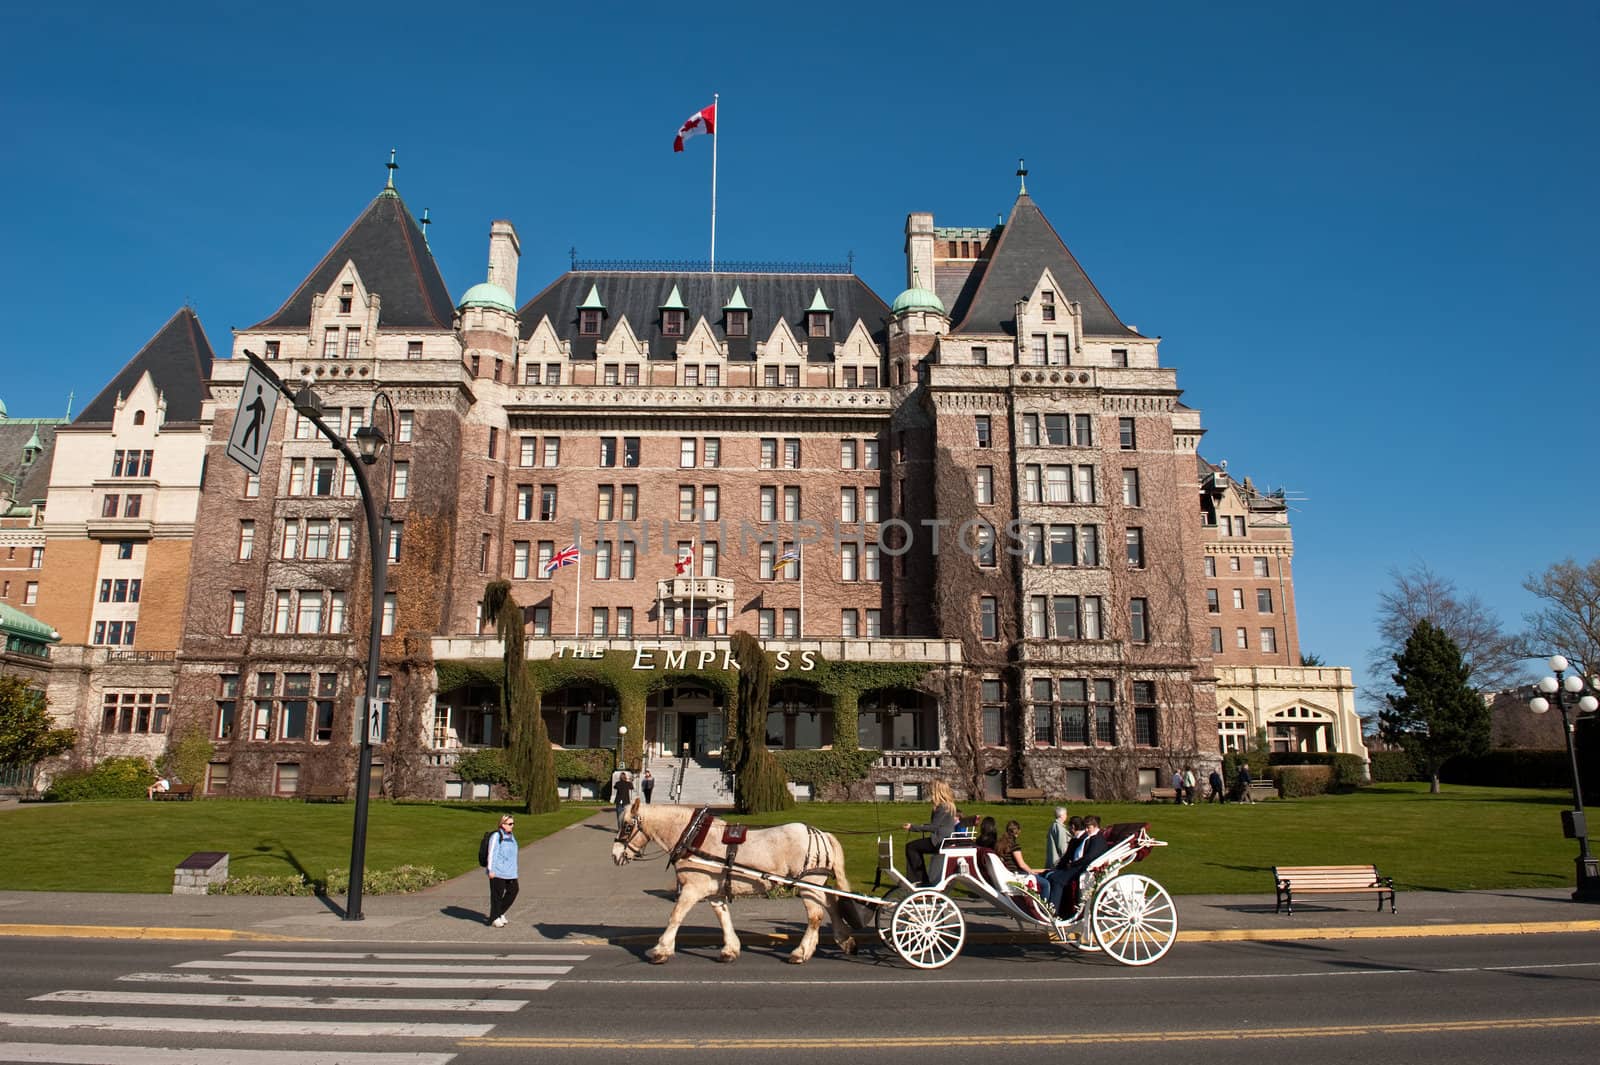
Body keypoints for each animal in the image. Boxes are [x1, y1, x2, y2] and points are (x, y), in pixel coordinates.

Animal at [614, 796, 864, 959]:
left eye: (626, 827)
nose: (615, 855)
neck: (691, 836)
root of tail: (822, 833)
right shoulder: (714, 892)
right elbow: (723, 918)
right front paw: (730, 949)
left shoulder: (693, 888)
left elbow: (676, 916)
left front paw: (661, 949)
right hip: (816, 884)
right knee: (831, 905)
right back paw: (844, 940)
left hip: (808, 884)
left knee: (815, 916)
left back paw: (801, 952)